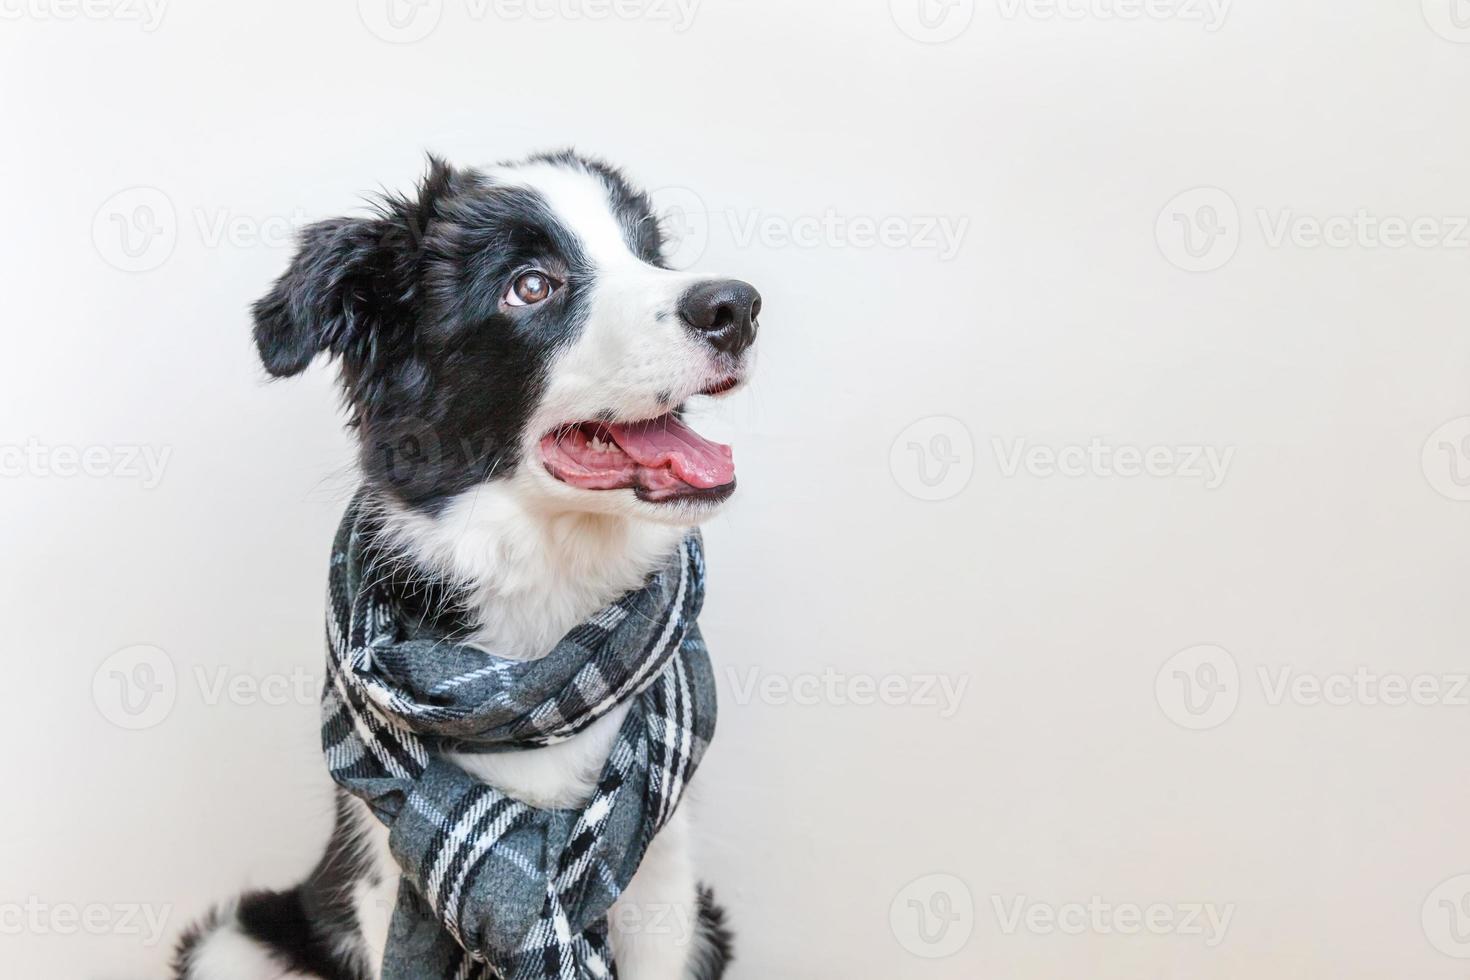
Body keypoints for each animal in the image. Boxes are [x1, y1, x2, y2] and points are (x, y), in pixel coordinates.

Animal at [174, 149, 758, 980]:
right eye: (531, 285)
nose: (737, 307)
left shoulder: (663, 885)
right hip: (232, 942)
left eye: (650, 254)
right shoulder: (384, 877)